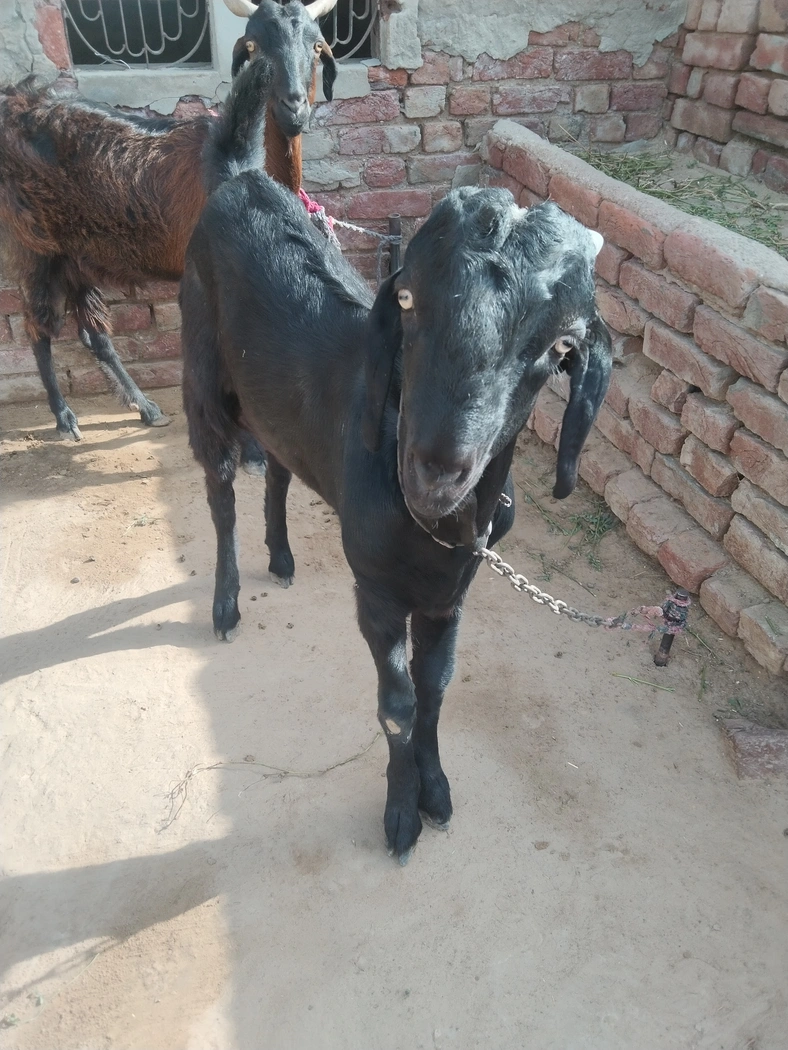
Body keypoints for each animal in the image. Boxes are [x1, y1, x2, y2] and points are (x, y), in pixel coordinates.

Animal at [0, 0, 337, 442]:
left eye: (316, 45)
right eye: (252, 45)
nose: (293, 108)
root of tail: (15, 101)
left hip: (76, 252)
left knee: (92, 333)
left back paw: (144, 406)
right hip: (32, 245)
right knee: (38, 329)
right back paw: (64, 417)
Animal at [181, 113, 612, 859]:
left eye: (562, 347)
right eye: (407, 299)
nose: (435, 465)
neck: (435, 528)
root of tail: (241, 176)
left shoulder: (450, 595)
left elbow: (436, 690)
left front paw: (435, 790)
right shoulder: (377, 591)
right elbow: (398, 706)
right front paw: (401, 814)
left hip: (275, 408)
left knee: (280, 467)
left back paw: (282, 557)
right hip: (201, 374)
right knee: (223, 492)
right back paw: (227, 604)